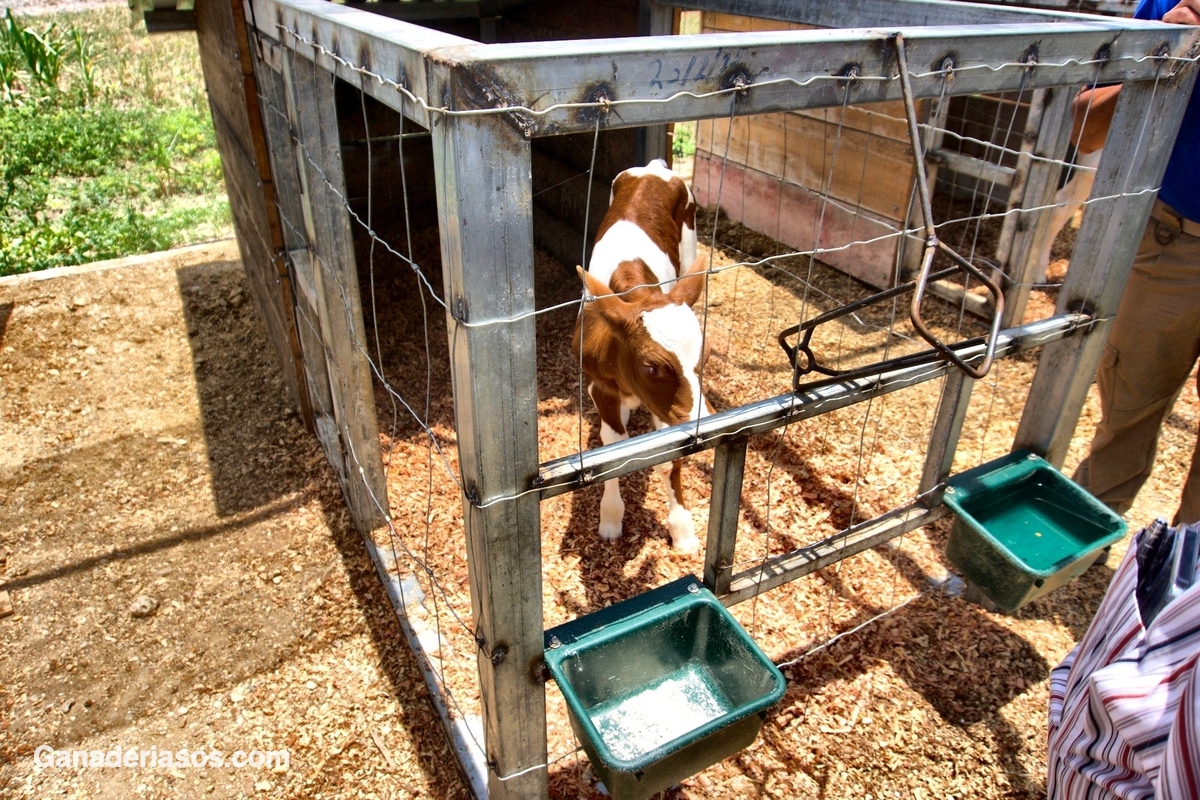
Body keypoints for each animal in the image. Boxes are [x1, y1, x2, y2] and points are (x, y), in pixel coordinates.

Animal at [573, 159, 710, 554]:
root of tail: (653, 167)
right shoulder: (600, 387)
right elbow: (612, 451)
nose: (704, 419)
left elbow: (668, 460)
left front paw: (682, 531)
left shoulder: (668, 408)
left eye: (702, 355)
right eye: (651, 366)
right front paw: (610, 520)